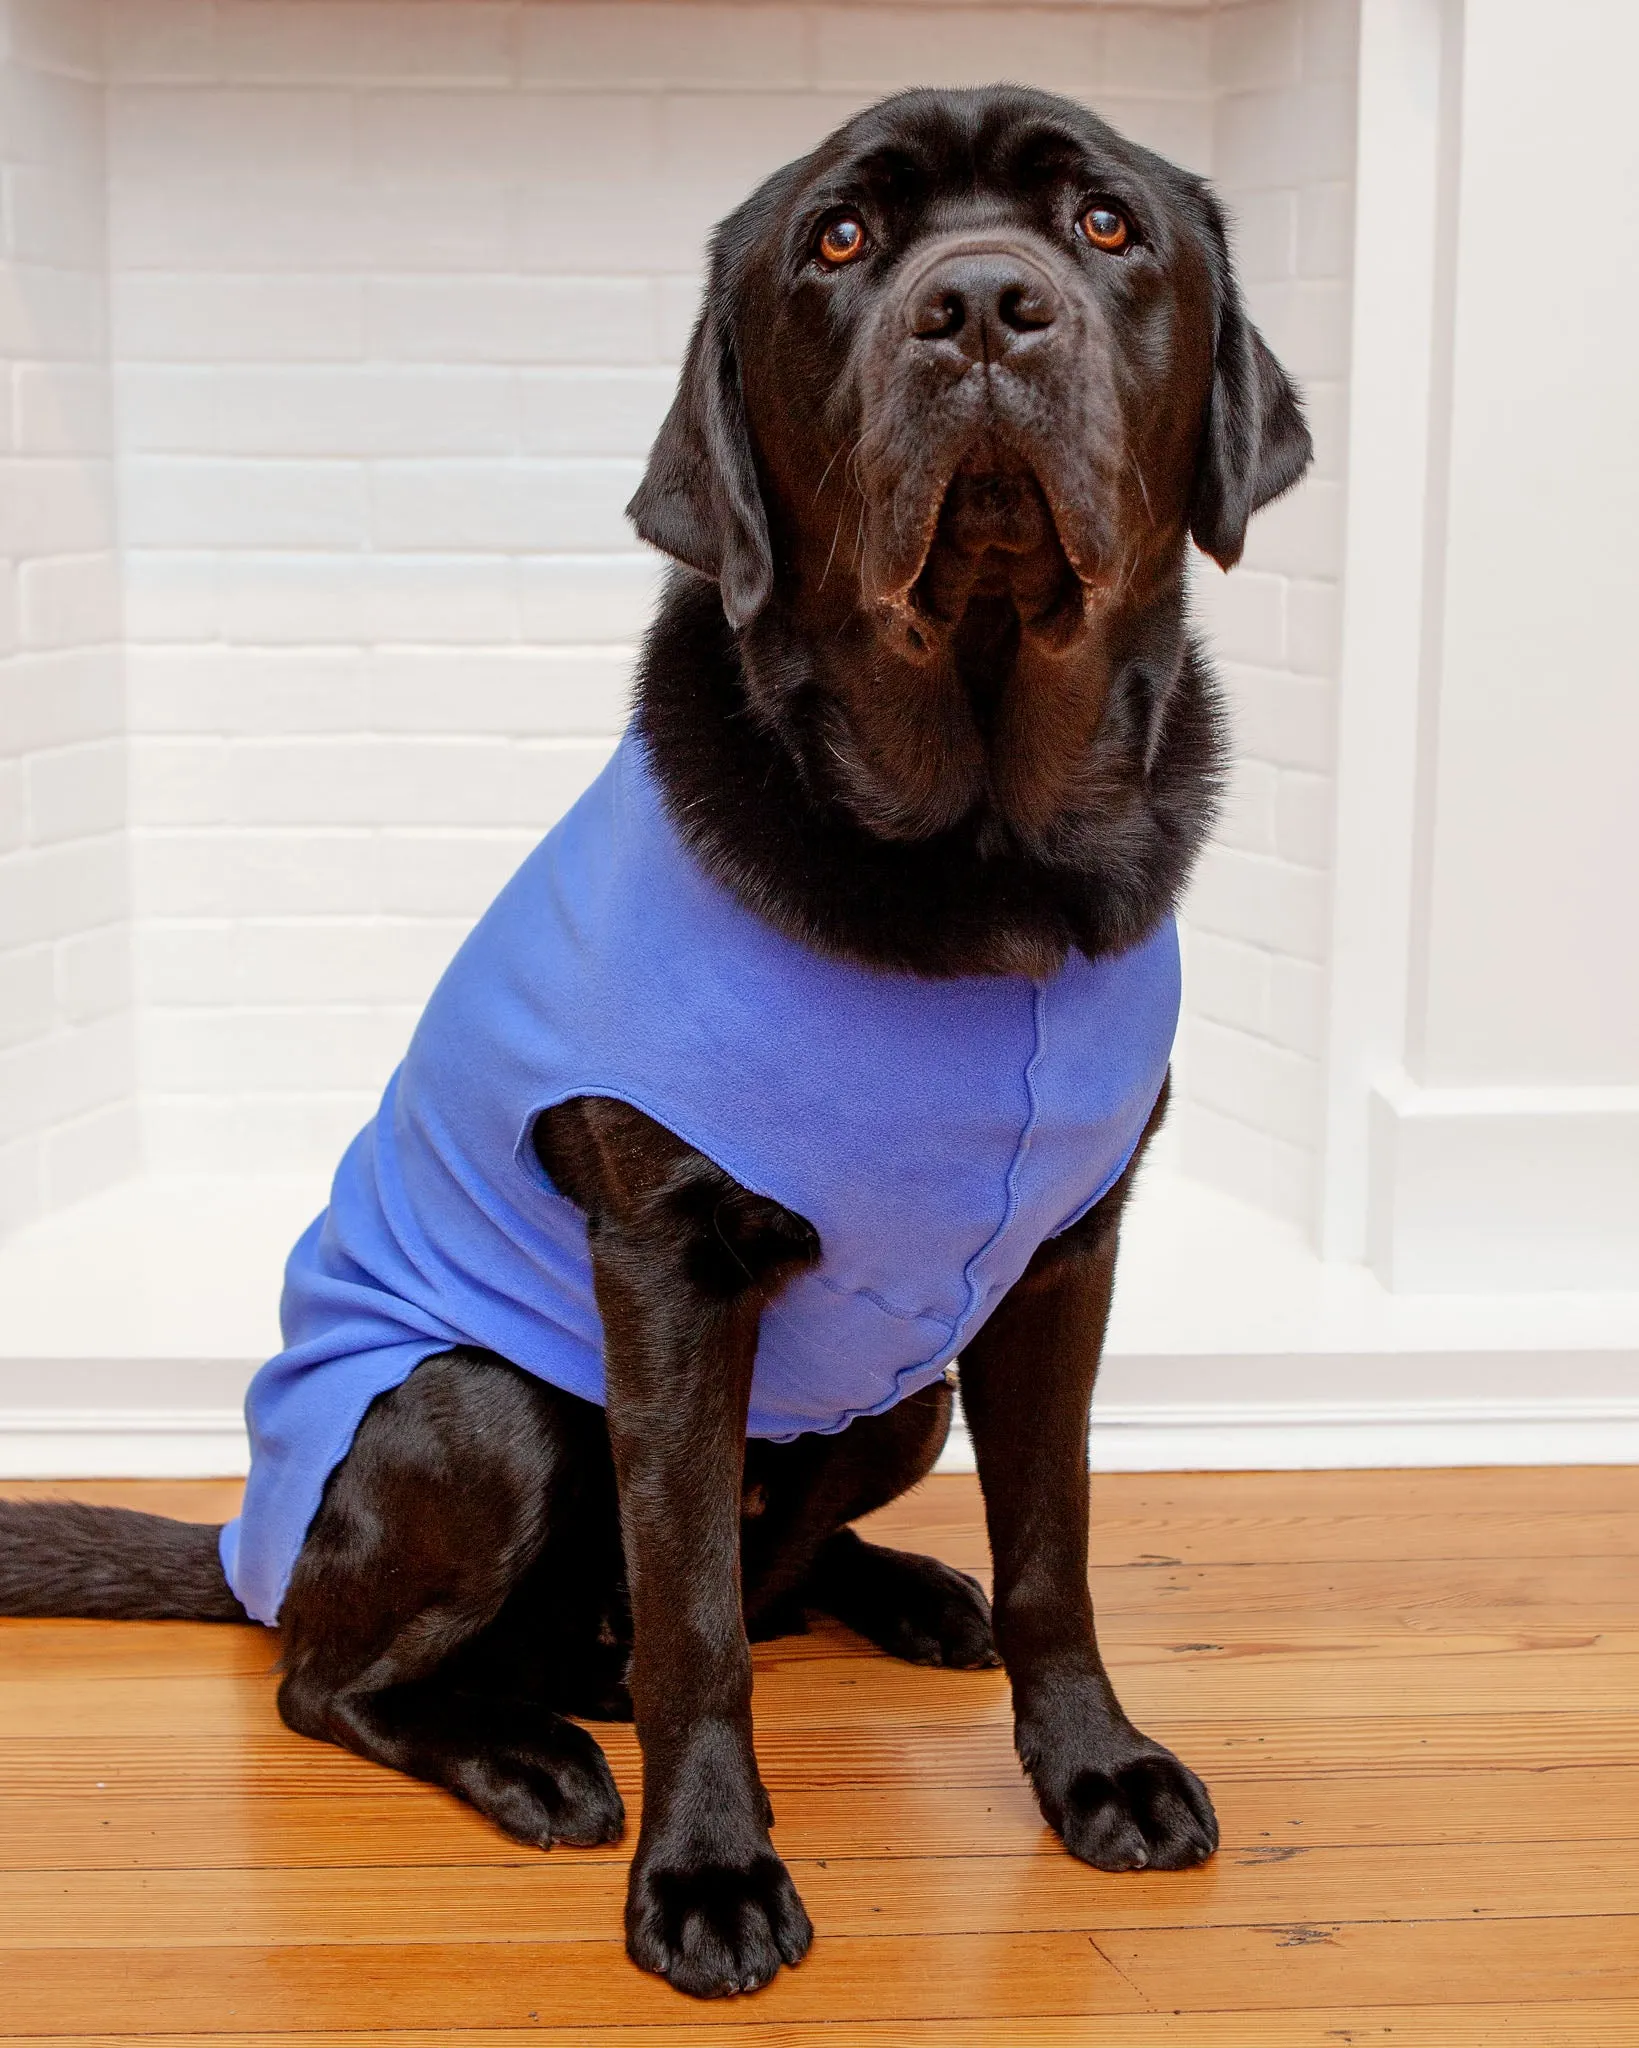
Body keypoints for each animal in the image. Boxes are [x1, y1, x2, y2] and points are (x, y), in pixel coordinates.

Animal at [0, 88, 1303, 1990]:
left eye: (1104, 226)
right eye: (836, 243)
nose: (982, 307)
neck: (982, 857)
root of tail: (260, 1547)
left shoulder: (1065, 1260)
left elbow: (1052, 1539)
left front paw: (1094, 1769)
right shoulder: (670, 1270)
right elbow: (695, 1623)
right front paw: (706, 1877)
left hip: (905, 1395)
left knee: (789, 1565)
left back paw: (906, 1593)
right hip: (479, 1407)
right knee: (340, 1674)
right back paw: (531, 1752)